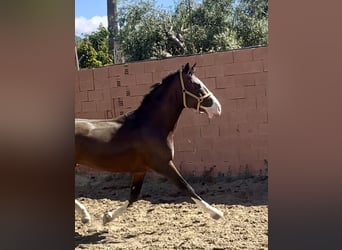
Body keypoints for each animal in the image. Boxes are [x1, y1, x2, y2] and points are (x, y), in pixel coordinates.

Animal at [75, 62, 223, 225]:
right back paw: (84, 215)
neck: (150, 125)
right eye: (197, 86)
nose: (218, 108)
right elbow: (186, 186)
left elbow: (134, 196)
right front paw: (216, 213)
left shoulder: (140, 170)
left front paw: (107, 217)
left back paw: (85, 216)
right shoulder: (163, 164)